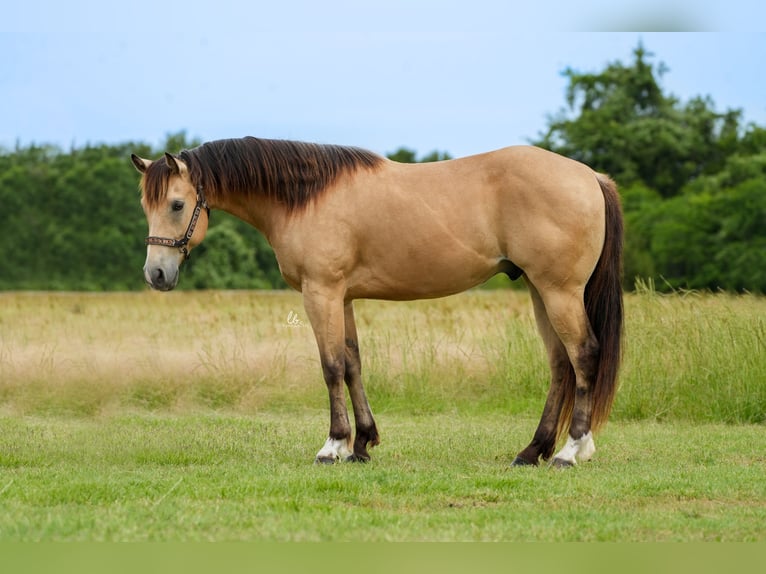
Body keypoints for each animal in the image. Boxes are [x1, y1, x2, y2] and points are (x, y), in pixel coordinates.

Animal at [132, 137, 624, 470]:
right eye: (145, 206)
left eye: (176, 205)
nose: (156, 275)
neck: (306, 198)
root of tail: (589, 176)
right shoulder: (343, 297)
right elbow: (352, 364)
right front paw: (362, 445)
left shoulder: (321, 293)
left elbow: (331, 366)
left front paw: (333, 446)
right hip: (541, 291)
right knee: (560, 365)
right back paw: (532, 451)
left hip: (559, 291)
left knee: (584, 356)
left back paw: (570, 451)